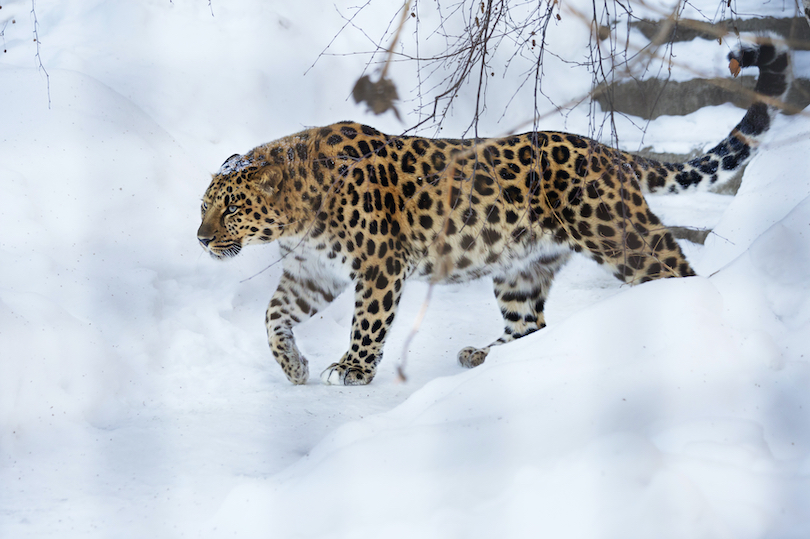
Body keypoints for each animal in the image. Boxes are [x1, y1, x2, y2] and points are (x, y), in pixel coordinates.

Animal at [197, 40, 788, 386]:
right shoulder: (312, 271)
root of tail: (608, 152)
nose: (201, 239)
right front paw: (293, 364)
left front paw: (353, 368)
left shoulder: (381, 265)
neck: (298, 220)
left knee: (675, 269)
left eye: (231, 208)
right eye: (203, 208)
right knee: (529, 325)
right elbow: (273, 317)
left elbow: (368, 322)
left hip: (618, 235)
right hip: (520, 269)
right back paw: (484, 358)